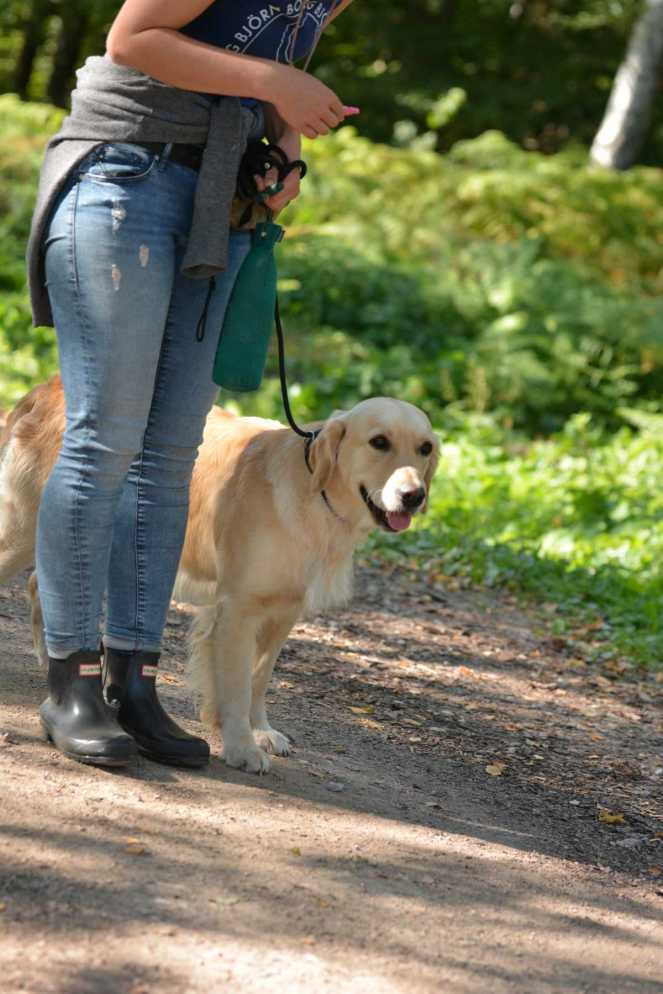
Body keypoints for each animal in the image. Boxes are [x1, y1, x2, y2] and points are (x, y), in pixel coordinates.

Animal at [0, 375, 439, 772]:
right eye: (379, 442)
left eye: (425, 448)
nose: (414, 496)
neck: (314, 496)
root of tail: (45, 387)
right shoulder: (238, 609)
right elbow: (237, 684)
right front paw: (242, 747)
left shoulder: (284, 609)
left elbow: (260, 677)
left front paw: (261, 731)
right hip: (24, 526)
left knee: (40, 583)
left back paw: (48, 660)